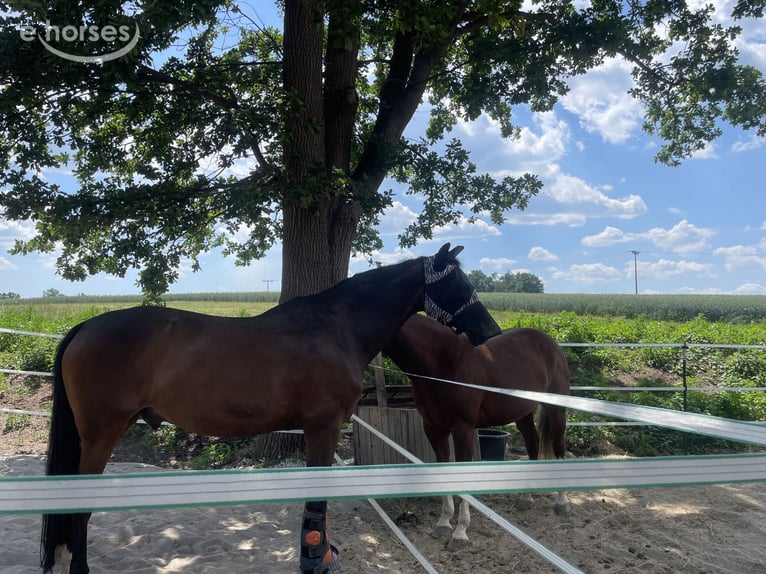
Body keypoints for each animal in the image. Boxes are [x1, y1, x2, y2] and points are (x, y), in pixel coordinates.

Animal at [40, 243, 501, 574]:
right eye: (459, 285)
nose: (491, 331)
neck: (336, 328)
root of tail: (86, 326)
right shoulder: (322, 428)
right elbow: (318, 502)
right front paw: (316, 561)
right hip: (101, 433)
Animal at [383, 313, 571, 548]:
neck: (442, 362)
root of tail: (551, 344)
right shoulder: (433, 429)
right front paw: (444, 522)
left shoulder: (462, 429)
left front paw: (460, 532)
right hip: (523, 413)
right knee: (532, 442)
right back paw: (525, 497)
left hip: (556, 410)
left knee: (559, 447)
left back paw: (562, 502)